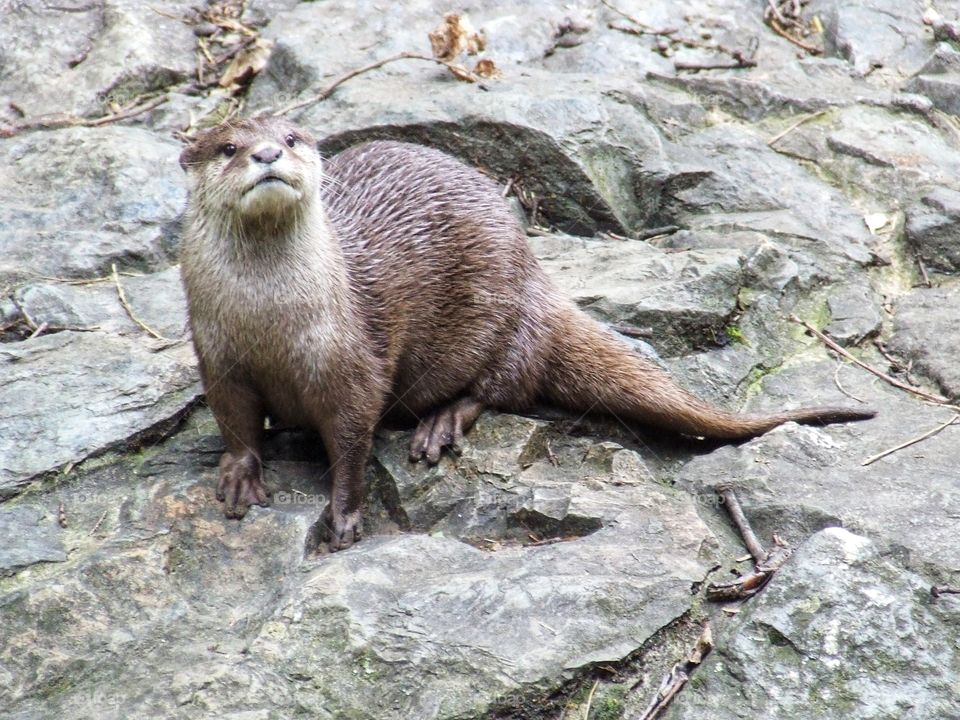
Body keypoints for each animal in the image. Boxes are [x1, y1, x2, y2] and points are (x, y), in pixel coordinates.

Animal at [178, 116, 873, 551]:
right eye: (228, 147)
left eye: (291, 136)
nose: (267, 154)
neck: (269, 325)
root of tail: (534, 270)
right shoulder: (217, 355)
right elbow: (234, 421)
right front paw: (240, 476)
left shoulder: (352, 363)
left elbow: (351, 438)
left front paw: (345, 516)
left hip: (500, 317)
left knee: (503, 385)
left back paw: (440, 424)